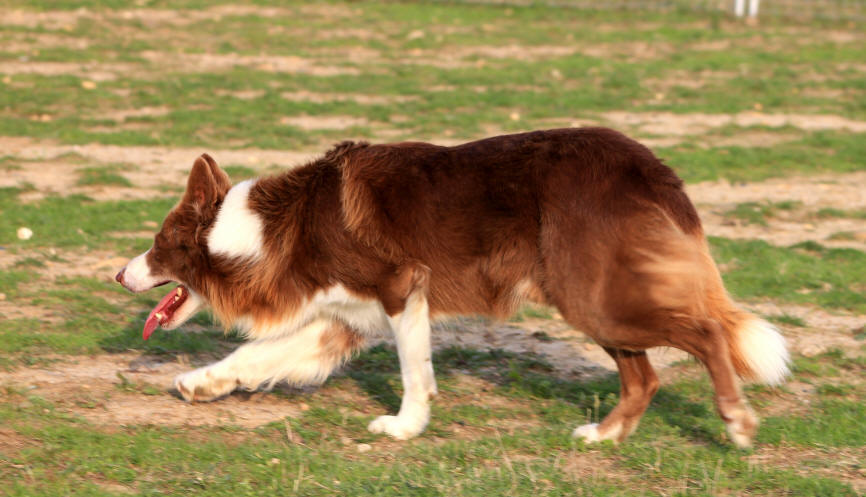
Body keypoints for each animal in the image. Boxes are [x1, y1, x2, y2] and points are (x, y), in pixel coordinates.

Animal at [116, 128, 788, 446]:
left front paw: (405, 427)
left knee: (706, 331)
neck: (263, 232)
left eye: (157, 243)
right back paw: (605, 436)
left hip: (594, 299)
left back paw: (736, 424)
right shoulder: (343, 319)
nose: (118, 273)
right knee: (645, 375)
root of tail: (644, 162)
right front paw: (201, 383)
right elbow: (257, 355)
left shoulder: (401, 287)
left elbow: (415, 371)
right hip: (595, 301)